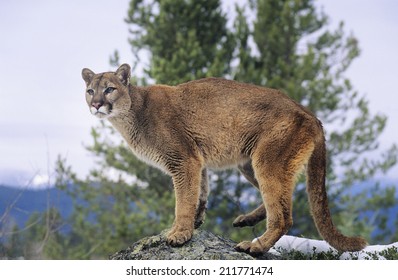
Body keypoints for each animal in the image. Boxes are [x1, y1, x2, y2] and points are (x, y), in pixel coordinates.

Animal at [82, 64, 368, 256]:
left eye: (109, 89)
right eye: (90, 90)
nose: (96, 104)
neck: (132, 113)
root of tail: (310, 113)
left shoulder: (183, 160)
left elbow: (183, 199)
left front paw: (179, 234)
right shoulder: (196, 160)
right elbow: (199, 192)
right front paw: (195, 223)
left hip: (266, 161)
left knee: (283, 215)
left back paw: (255, 246)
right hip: (249, 163)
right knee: (283, 198)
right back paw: (246, 220)